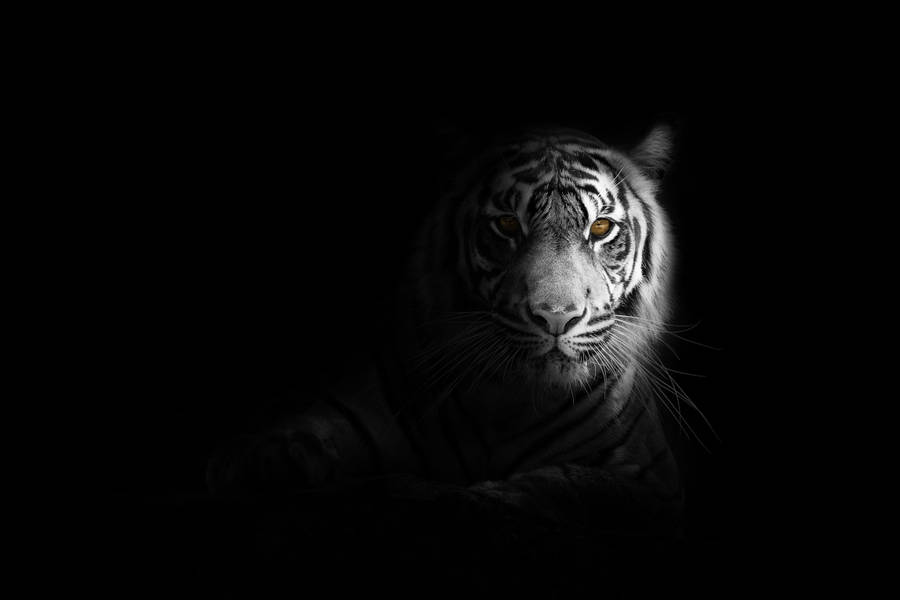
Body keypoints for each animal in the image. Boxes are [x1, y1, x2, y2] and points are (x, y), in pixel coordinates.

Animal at [207, 123, 695, 543]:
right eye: (507, 225)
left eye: (600, 228)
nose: (556, 317)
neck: (511, 402)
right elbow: (278, 446)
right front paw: (260, 470)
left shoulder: (654, 482)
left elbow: (573, 483)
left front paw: (479, 499)